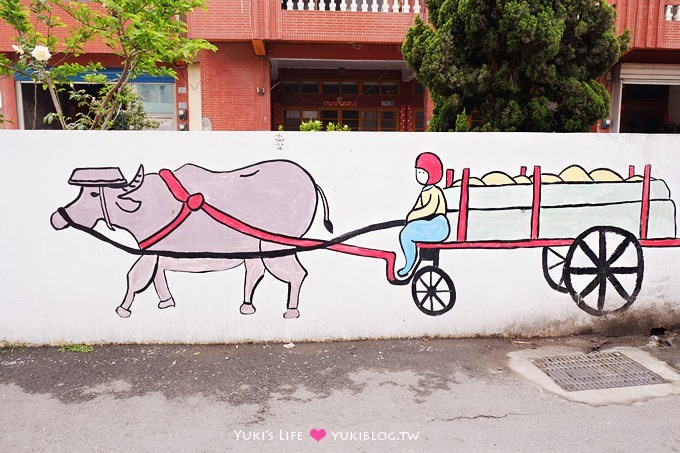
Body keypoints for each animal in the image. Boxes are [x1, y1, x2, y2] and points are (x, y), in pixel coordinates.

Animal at [49, 161, 332, 320]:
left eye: (93, 193)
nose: (57, 217)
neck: (143, 206)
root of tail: (311, 182)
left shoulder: (150, 253)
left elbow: (135, 277)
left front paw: (123, 309)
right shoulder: (158, 252)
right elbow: (157, 277)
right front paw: (166, 301)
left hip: (277, 244)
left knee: (296, 274)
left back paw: (291, 311)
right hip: (257, 246)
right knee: (255, 271)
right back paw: (247, 305)